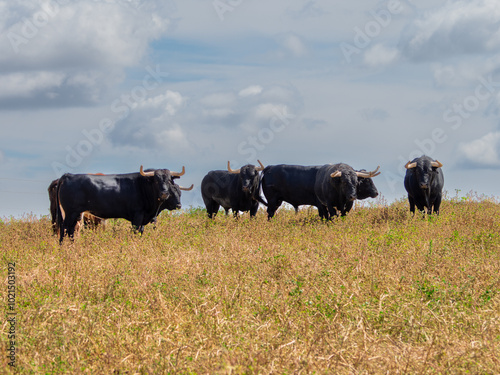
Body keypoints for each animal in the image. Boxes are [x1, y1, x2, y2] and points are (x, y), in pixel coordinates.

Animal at [56, 165, 192, 242]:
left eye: (169, 180)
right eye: (156, 180)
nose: (164, 193)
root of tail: (68, 175)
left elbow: (141, 232)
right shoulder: (137, 216)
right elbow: (135, 231)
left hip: (76, 214)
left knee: (71, 230)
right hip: (70, 213)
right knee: (65, 228)